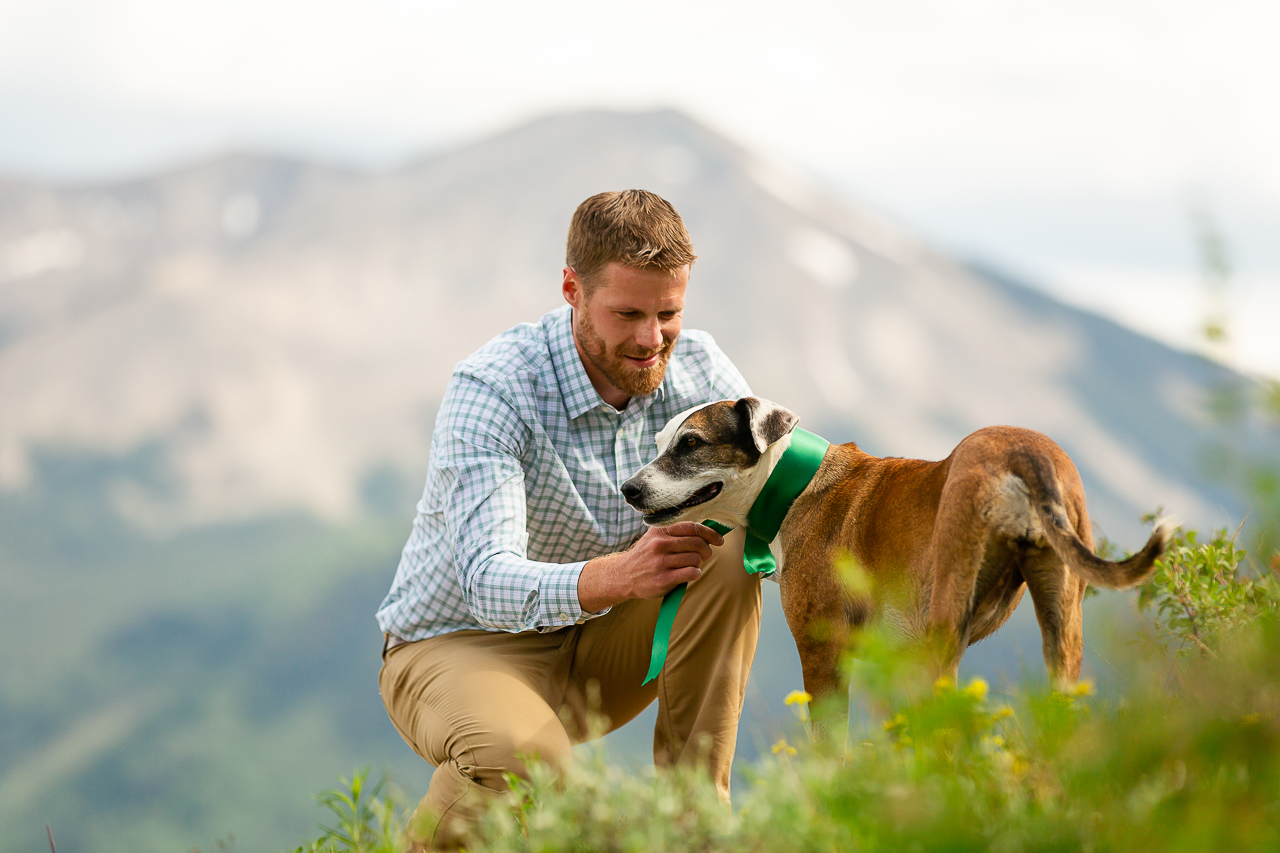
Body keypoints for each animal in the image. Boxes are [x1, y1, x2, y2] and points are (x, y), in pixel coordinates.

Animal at [619, 399, 1172, 701]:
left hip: (944, 626)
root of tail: (1023, 451)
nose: (629, 489)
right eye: (662, 442)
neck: (793, 486)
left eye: (691, 444)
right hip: (1060, 626)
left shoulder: (824, 653)